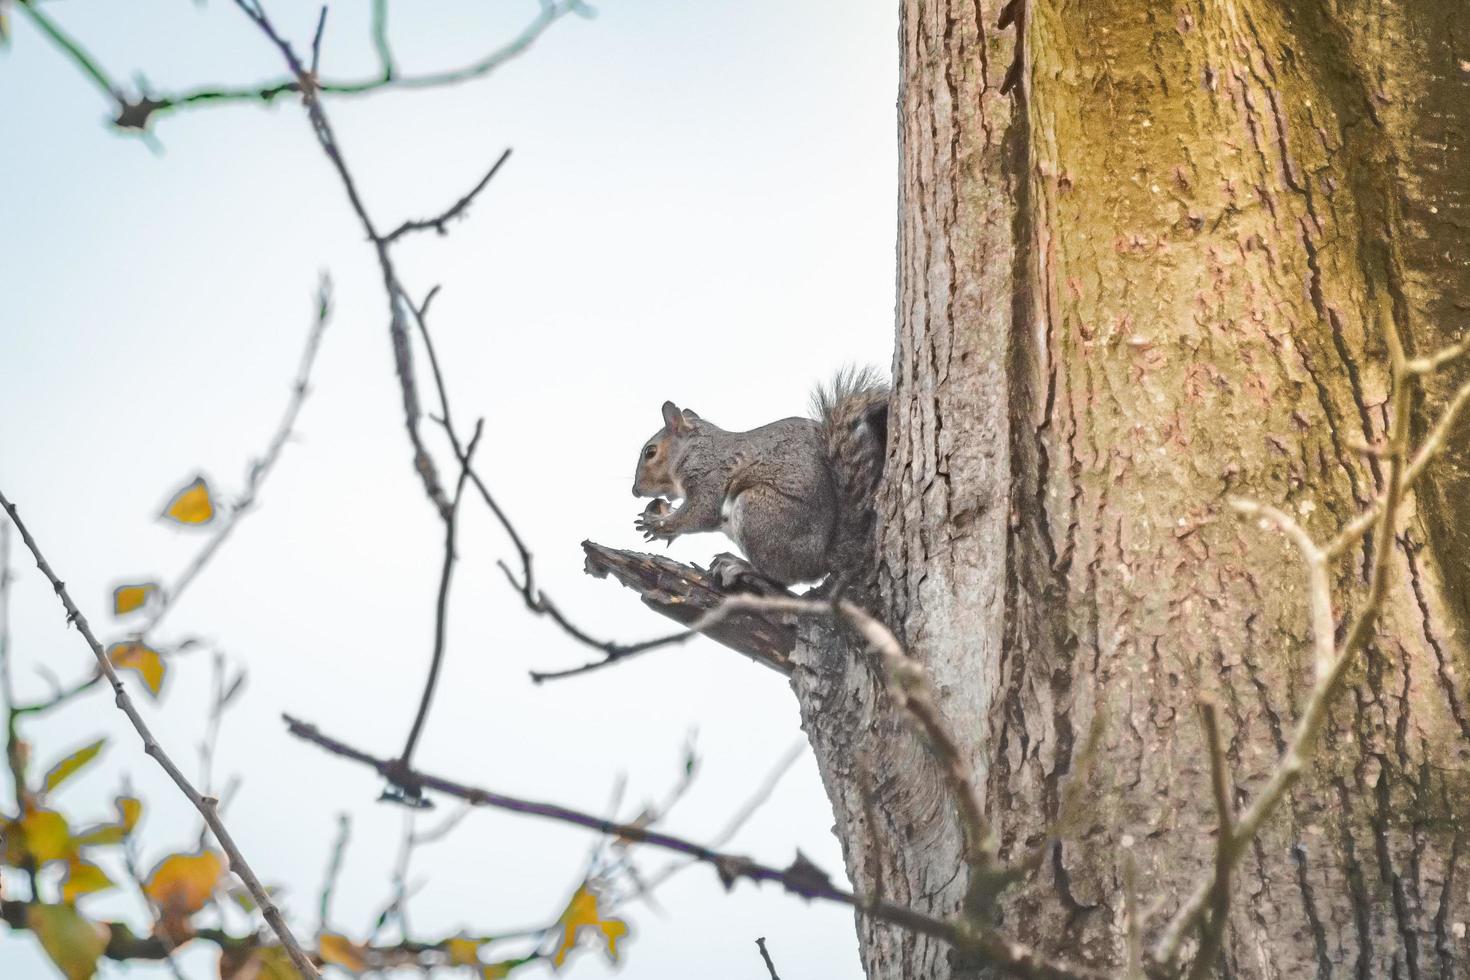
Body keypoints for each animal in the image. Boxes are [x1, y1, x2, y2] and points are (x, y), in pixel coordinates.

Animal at [629, 365, 887, 581]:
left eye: (650, 452)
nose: (635, 490)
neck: (695, 450)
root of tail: (822, 558)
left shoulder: (711, 476)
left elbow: (700, 512)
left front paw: (659, 525)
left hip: (757, 511)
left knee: (780, 576)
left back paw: (742, 565)